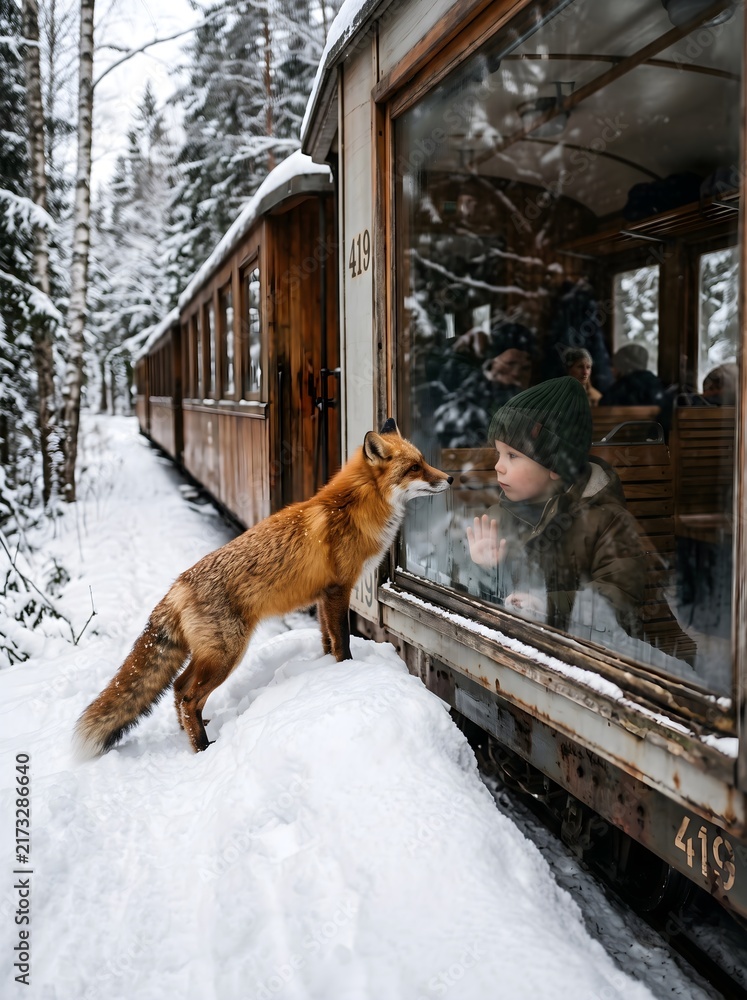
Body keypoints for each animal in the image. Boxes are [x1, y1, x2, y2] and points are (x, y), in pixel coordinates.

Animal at [74, 420, 451, 756]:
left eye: (424, 461)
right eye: (415, 467)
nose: (450, 478)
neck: (353, 508)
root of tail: (178, 585)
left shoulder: (322, 597)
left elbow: (327, 641)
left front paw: (326, 671)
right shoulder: (338, 591)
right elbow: (342, 642)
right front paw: (347, 674)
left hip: (210, 655)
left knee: (179, 690)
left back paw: (191, 734)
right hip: (227, 655)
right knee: (190, 696)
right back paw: (203, 749)